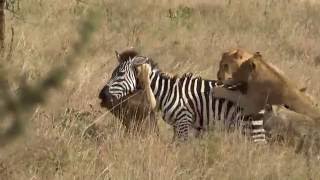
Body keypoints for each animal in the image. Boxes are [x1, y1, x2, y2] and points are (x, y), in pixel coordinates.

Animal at [99, 50, 266, 142]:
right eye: (113, 73)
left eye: (120, 74)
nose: (102, 95)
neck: (166, 91)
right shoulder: (178, 125)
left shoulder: (183, 122)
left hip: (251, 124)